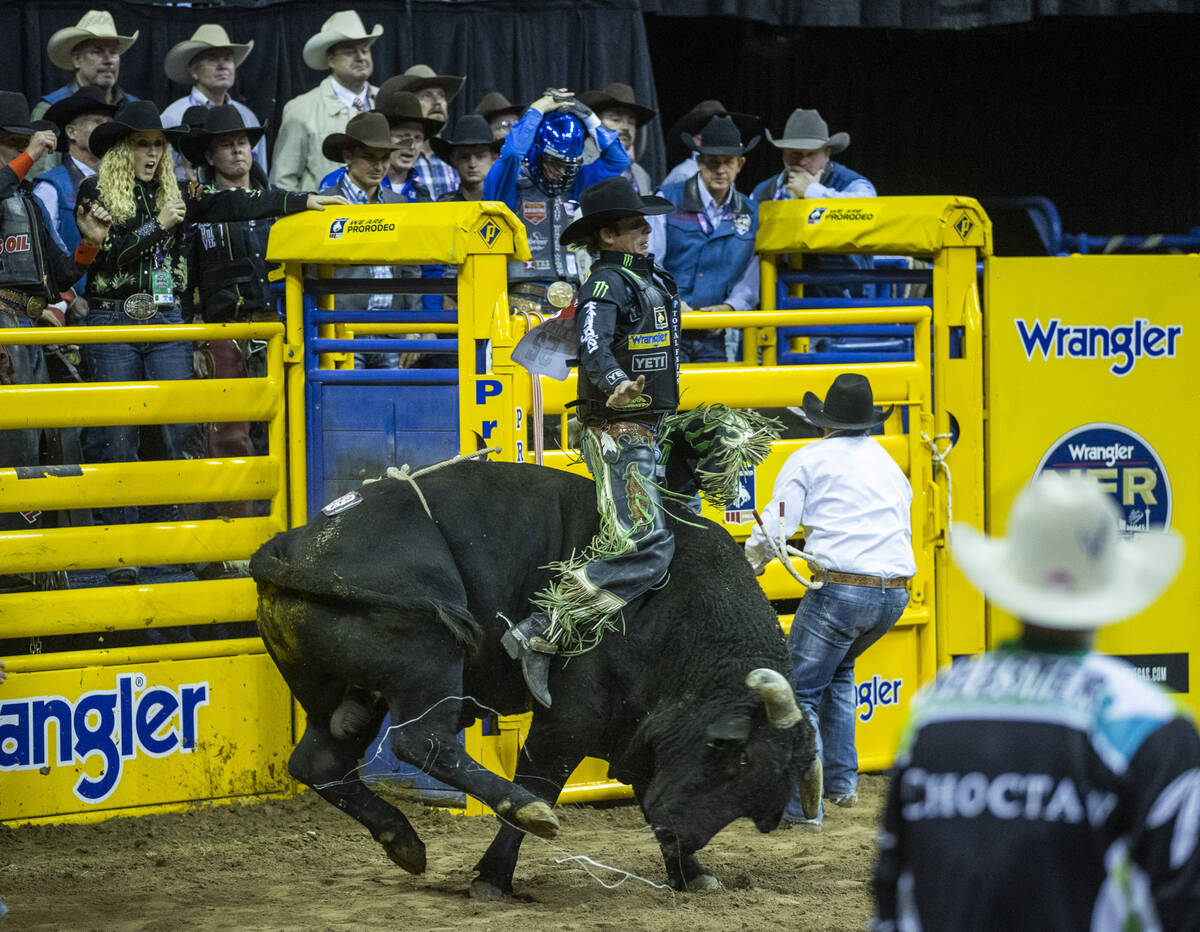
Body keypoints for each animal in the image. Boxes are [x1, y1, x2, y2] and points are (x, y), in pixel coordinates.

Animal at [248, 458, 820, 892]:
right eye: (731, 757)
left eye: (756, 793)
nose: (680, 835)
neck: (678, 610)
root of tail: (290, 549)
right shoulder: (570, 719)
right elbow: (541, 777)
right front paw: (494, 875)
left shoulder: (637, 732)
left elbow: (641, 785)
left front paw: (692, 873)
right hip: (428, 658)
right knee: (422, 741)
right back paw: (523, 812)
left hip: (344, 693)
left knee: (322, 759)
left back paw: (403, 841)